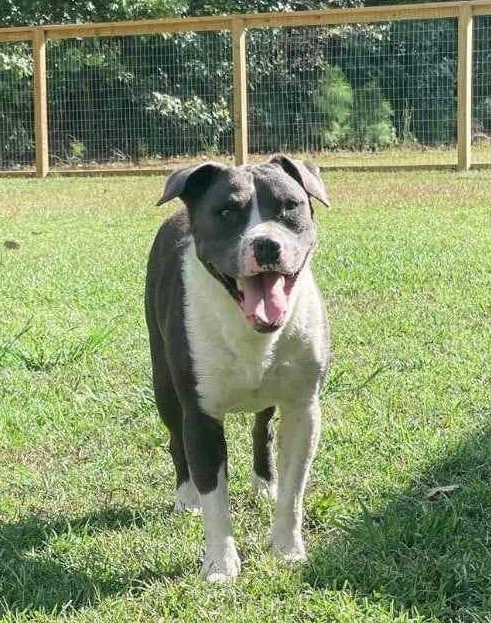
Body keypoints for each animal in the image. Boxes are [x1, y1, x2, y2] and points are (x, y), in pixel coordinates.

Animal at [146, 154, 330, 584]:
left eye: (290, 207)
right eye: (226, 212)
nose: (266, 243)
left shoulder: (303, 410)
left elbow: (294, 491)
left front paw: (286, 549)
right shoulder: (200, 417)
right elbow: (215, 499)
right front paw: (220, 565)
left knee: (261, 429)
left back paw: (264, 483)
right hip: (164, 384)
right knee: (175, 440)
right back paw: (186, 497)